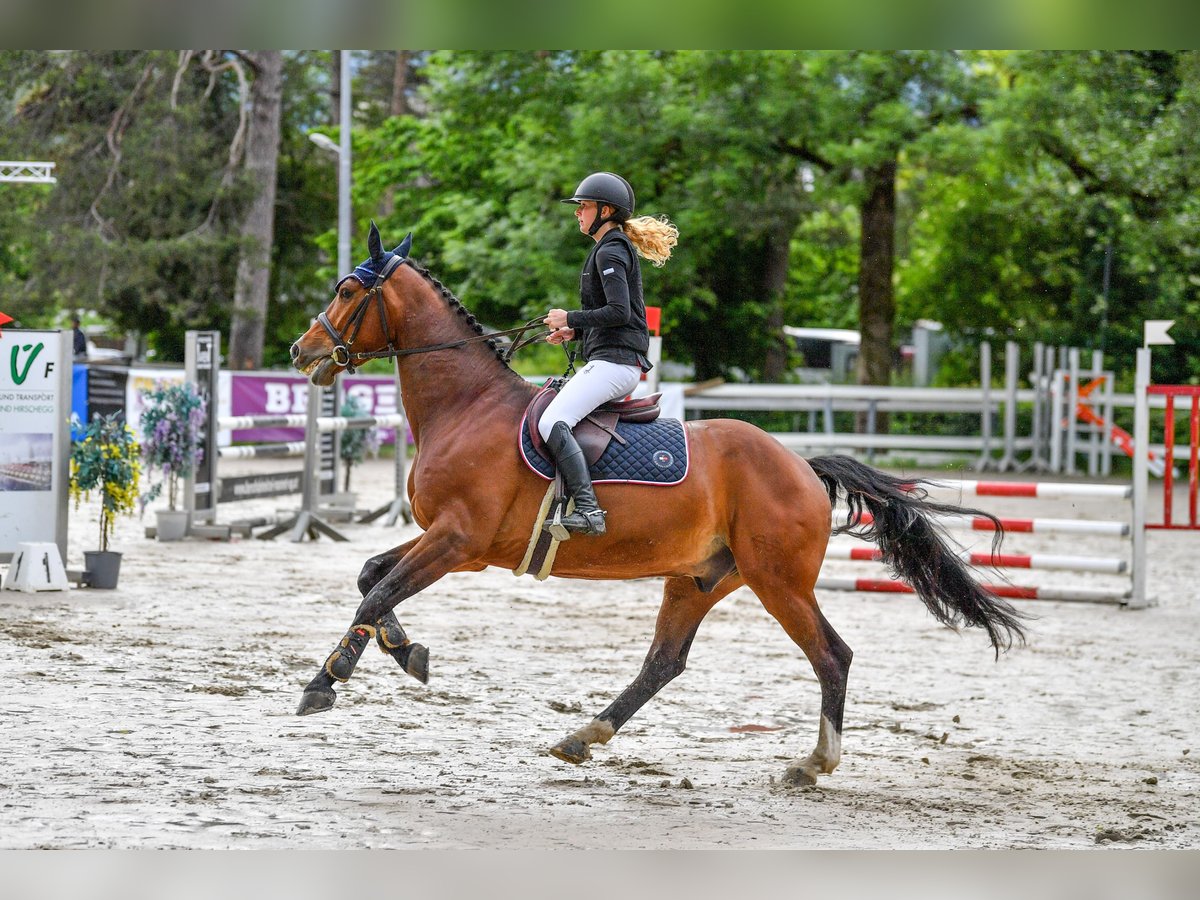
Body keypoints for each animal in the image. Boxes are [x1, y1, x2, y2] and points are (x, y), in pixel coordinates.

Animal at [288, 225, 1022, 787]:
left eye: (348, 291)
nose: (301, 350)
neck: (466, 406)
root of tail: (801, 467)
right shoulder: (455, 543)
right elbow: (372, 579)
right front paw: (404, 651)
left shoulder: (459, 540)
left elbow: (378, 590)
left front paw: (328, 679)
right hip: (698, 578)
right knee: (664, 663)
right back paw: (583, 736)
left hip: (777, 580)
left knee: (831, 656)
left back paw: (813, 764)